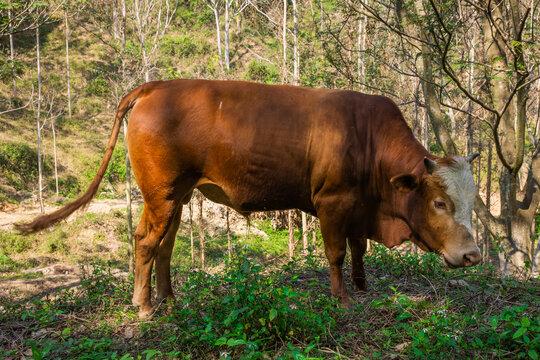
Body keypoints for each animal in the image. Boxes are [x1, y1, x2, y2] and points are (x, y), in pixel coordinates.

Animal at [16, 79, 480, 318]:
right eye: (439, 203)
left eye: (473, 202)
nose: (473, 255)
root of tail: (157, 86)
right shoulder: (332, 202)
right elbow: (336, 253)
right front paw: (343, 297)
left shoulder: (357, 207)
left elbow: (358, 248)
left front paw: (363, 286)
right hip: (159, 195)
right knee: (146, 241)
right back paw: (144, 306)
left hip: (177, 197)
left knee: (165, 245)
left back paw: (169, 299)